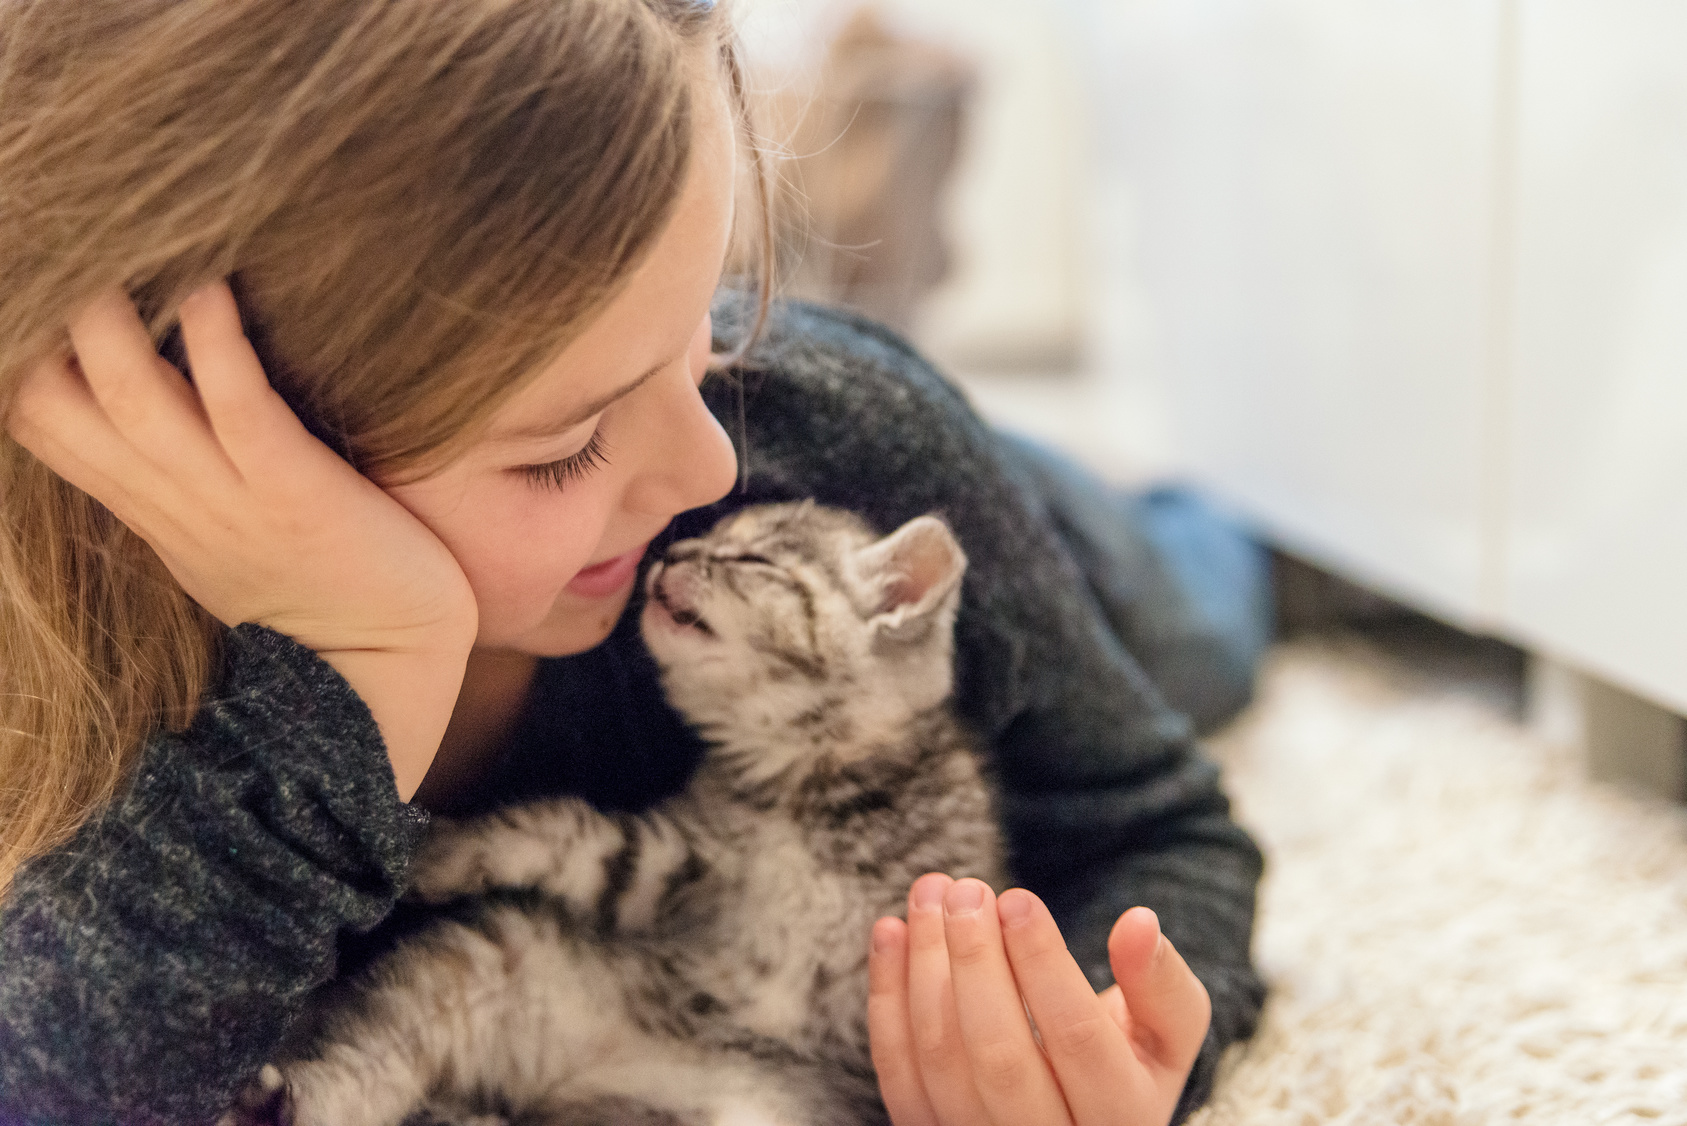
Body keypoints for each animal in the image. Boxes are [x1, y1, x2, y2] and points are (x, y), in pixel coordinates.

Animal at [232, 503, 1005, 1126]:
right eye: (710, 538)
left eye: (751, 559)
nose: (670, 552)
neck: (801, 784)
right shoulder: (682, 864)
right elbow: (556, 830)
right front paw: (436, 853)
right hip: (490, 964)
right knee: (374, 1057)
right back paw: (286, 1103)